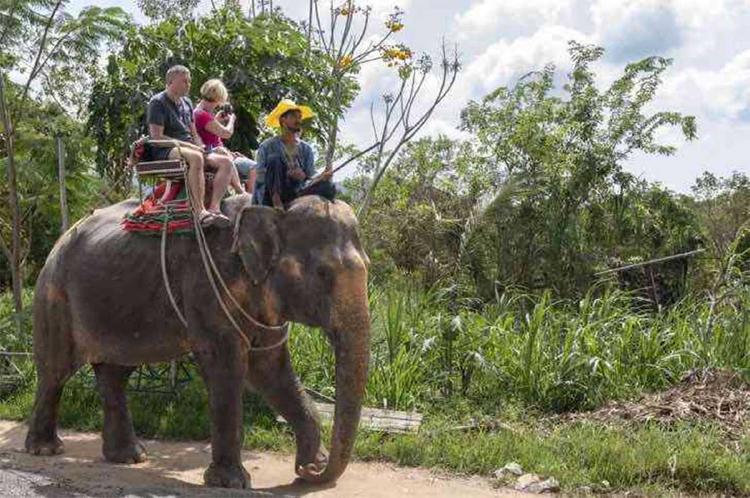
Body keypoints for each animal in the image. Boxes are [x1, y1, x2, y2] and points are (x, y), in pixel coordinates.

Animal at [25, 193, 372, 488]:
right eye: (324, 273)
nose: (308, 471)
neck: (272, 208)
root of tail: (60, 239)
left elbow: (270, 369)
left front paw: (312, 467)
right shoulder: (207, 287)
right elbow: (227, 367)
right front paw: (230, 483)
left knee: (115, 374)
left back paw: (129, 457)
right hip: (54, 295)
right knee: (56, 371)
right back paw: (45, 450)